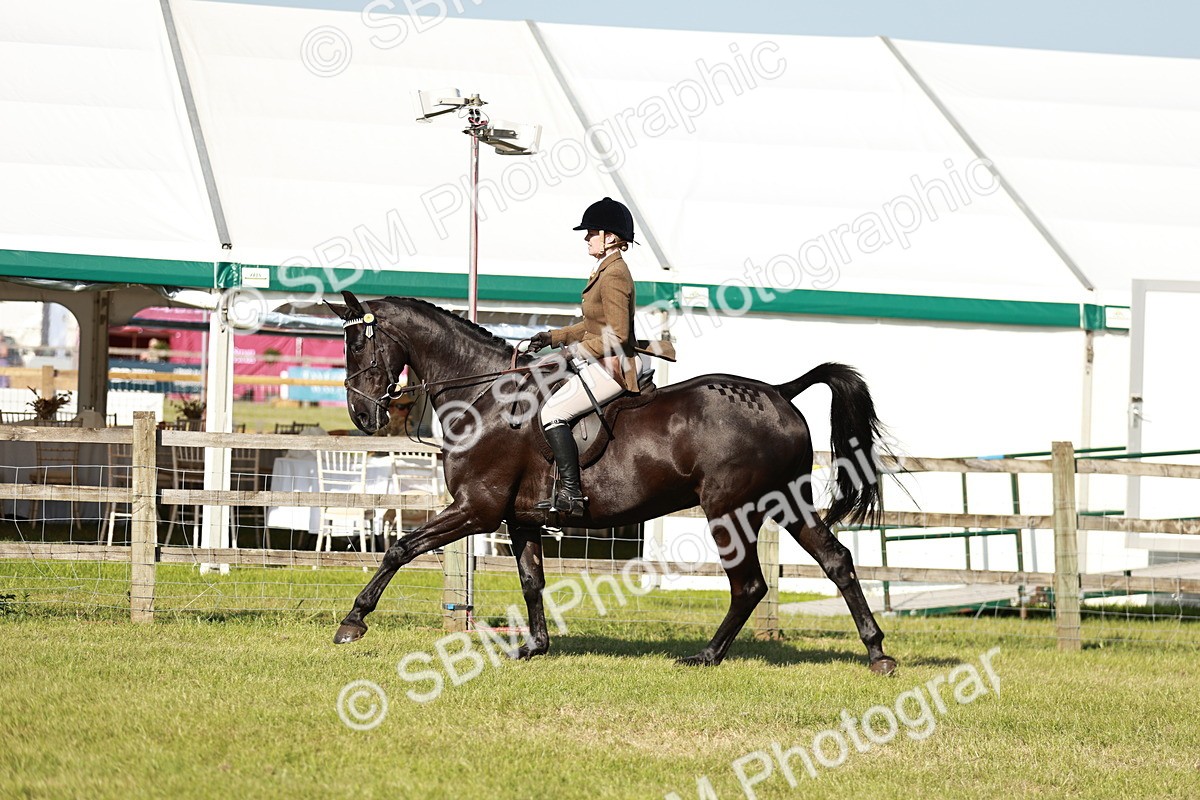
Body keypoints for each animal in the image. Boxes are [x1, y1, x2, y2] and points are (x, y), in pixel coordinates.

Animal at [326, 291, 898, 675]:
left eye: (356, 345)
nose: (361, 414)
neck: (486, 397)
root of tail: (778, 391)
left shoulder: (477, 508)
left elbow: (399, 548)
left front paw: (353, 622)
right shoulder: (518, 518)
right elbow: (531, 581)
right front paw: (534, 647)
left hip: (729, 510)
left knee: (750, 584)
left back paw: (706, 656)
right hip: (786, 503)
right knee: (835, 561)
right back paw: (877, 652)